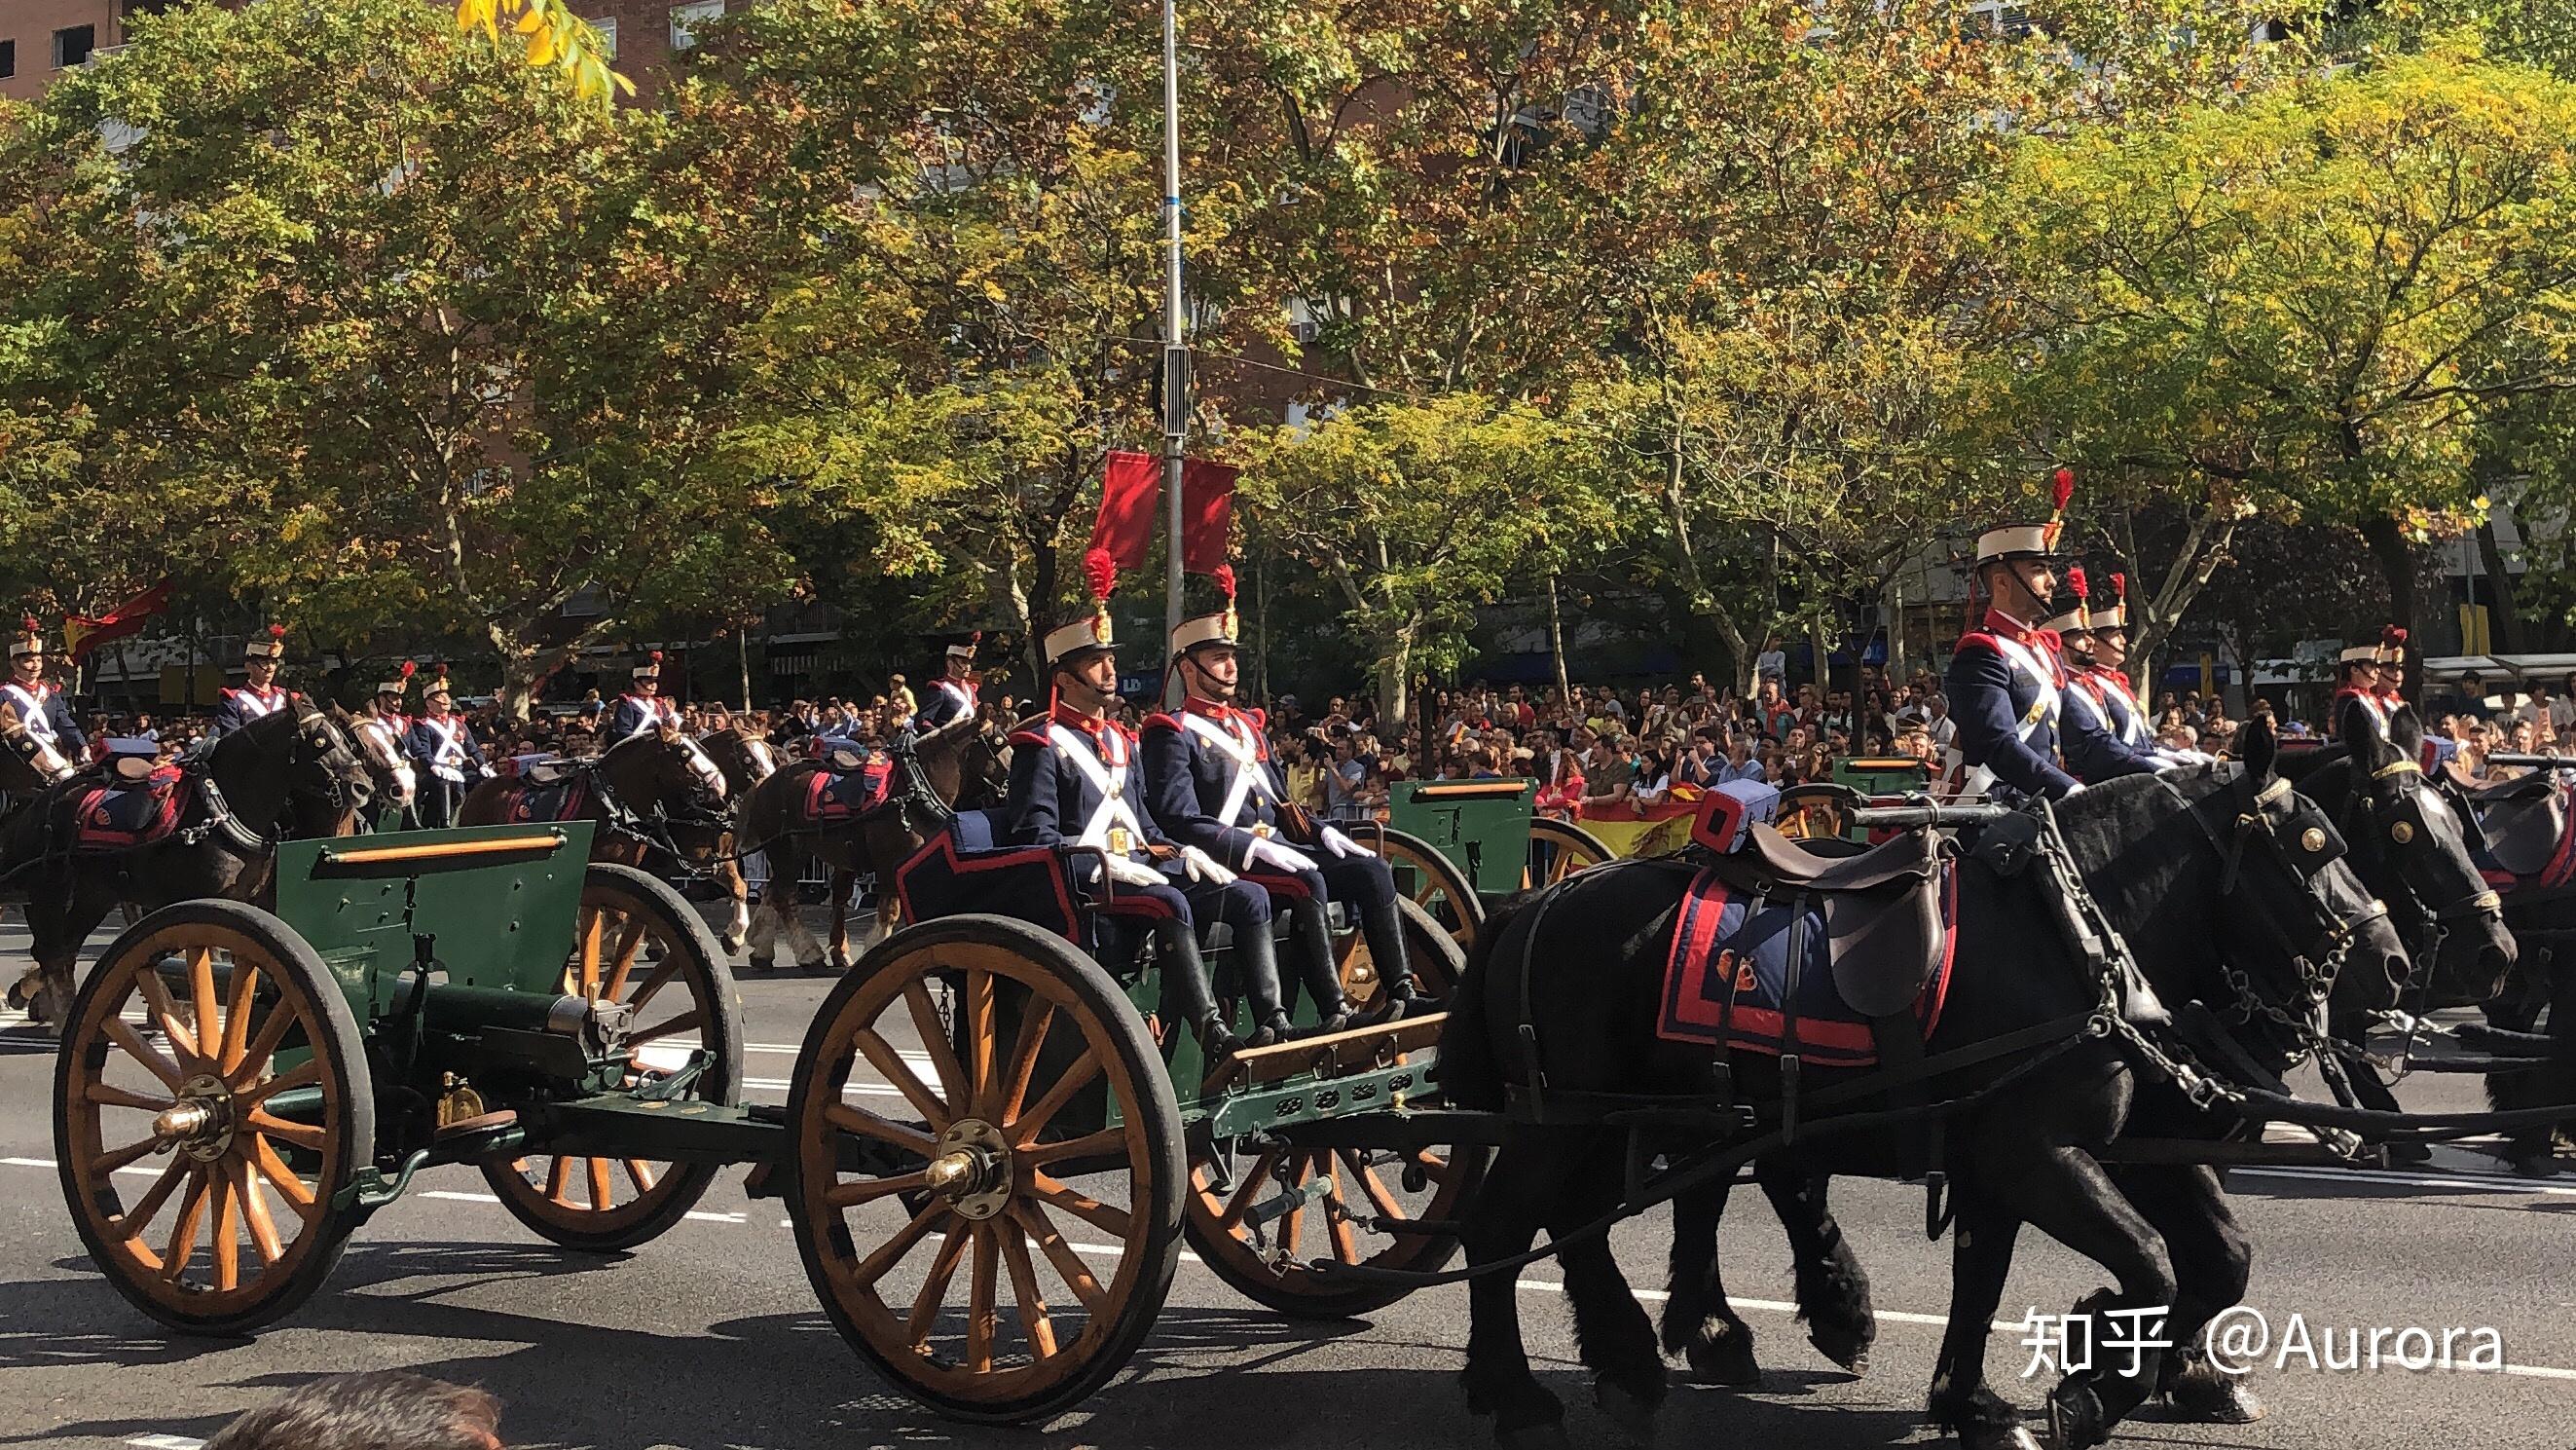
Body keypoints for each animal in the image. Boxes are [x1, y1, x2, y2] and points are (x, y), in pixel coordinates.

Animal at [1, 705, 373, 1029]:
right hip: (50, 894)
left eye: (345, 739)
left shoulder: (245, 902)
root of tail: (40, 804)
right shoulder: (201, 903)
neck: (220, 810)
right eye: (321, 741)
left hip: (93, 897)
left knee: (62, 952)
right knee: (51, 952)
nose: (363, 787)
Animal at [1453, 725, 2410, 1450]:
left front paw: (1981, 1398)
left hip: (1621, 1119)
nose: (2394, 965)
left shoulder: (2051, 1152)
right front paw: (2093, 1375)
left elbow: (2021, 1275)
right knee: (1502, 1227)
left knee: (1591, 1221)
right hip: (1560, 1121)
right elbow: (2148, 1262)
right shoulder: (2038, 1152)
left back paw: (1638, 1359)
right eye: (2314, 847)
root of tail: (1529, 903)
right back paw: (1522, 1394)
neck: (2069, 933)